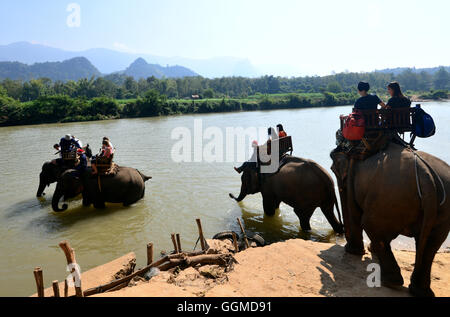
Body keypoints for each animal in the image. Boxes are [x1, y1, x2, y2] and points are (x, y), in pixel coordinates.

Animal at [330, 143, 450, 296]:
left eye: (333, 170)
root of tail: (426, 176)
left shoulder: (352, 176)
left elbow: (354, 213)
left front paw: (353, 251)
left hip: (389, 198)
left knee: (370, 225)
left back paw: (391, 282)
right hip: (441, 212)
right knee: (431, 246)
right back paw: (419, 291)